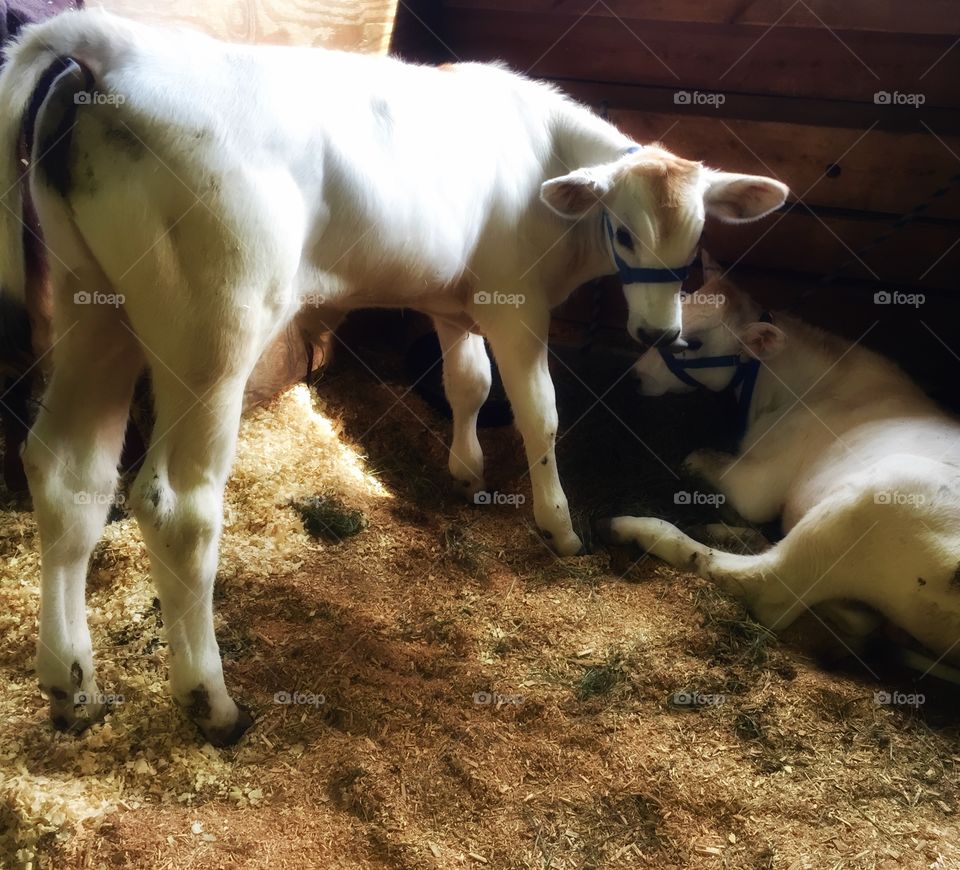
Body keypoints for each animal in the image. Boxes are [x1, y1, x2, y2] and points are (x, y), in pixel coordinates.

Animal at [0, 10, 787, 743]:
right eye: (622, 231)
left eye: (694, 247)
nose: (657, 332)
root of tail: (115, 44)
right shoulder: (517, 303)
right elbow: (539, 412)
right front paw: (560, 527)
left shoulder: (453, 302)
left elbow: (467, 383)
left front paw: (466, 471)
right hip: (213, 329)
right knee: (177, 507)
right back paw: (211, 701)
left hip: (90, 304)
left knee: (68, 474)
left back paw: (71, 688)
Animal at [601, 252, 960, 670]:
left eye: (694, 343)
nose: (635, 377)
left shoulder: (756, 487)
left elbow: (697, 460)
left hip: (882, 494)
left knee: (767, 590)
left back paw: (635, 527)